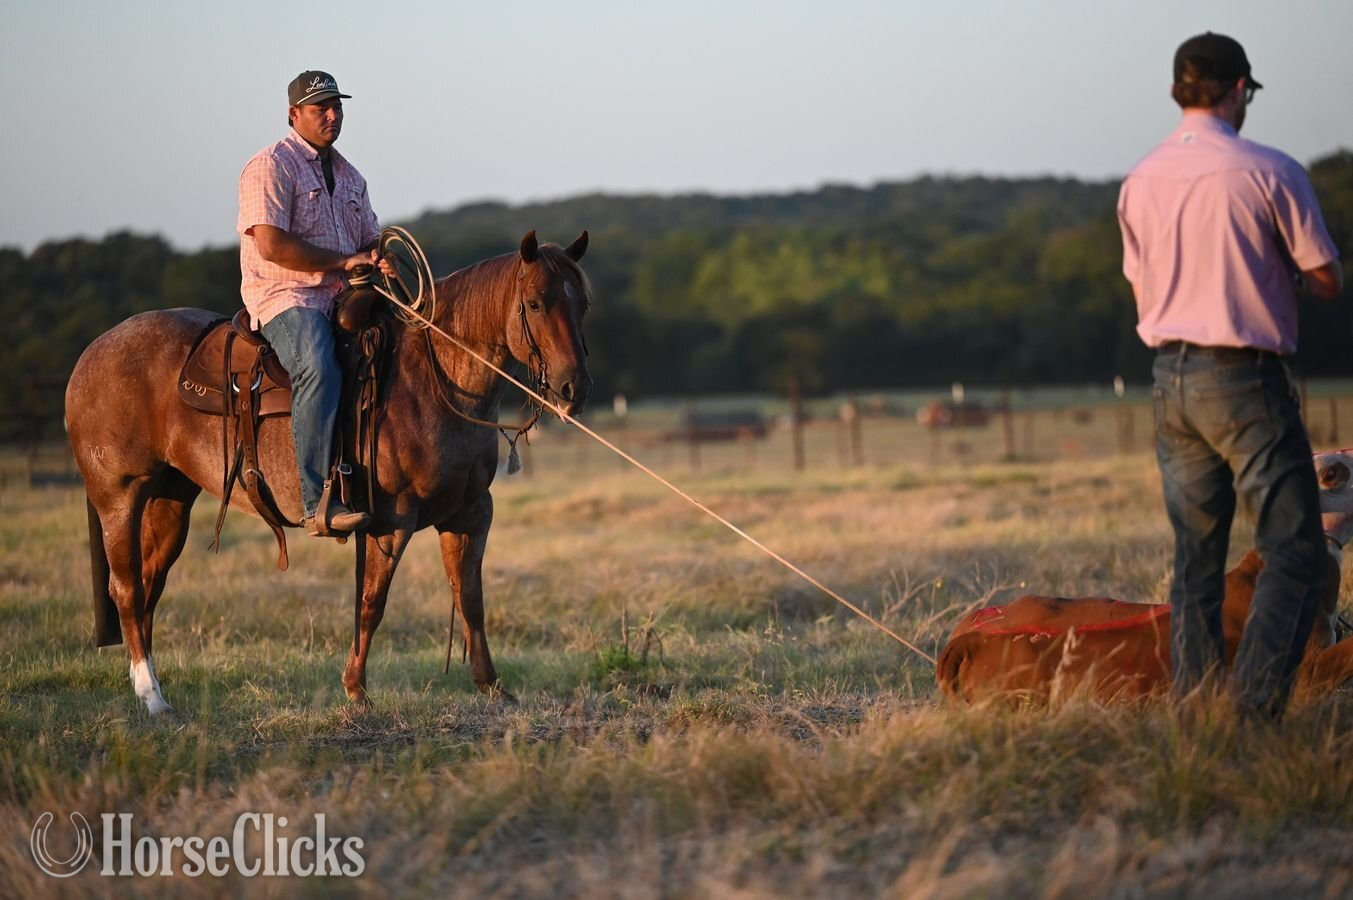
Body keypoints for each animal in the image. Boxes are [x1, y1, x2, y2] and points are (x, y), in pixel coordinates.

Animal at [65, 231, 591, 715]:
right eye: (535, 303)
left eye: (582, 301)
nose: (574, 388)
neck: (435, 380)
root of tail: (92, 353)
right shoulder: (389, 521)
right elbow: (371, 601)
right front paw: (356, 689)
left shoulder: (470, 514)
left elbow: (470, 598)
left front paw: (492, 687)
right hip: (119, 497)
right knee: (127, 588)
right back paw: (152, 698)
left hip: (171, 499)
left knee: (150, 584)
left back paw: (149, 686)